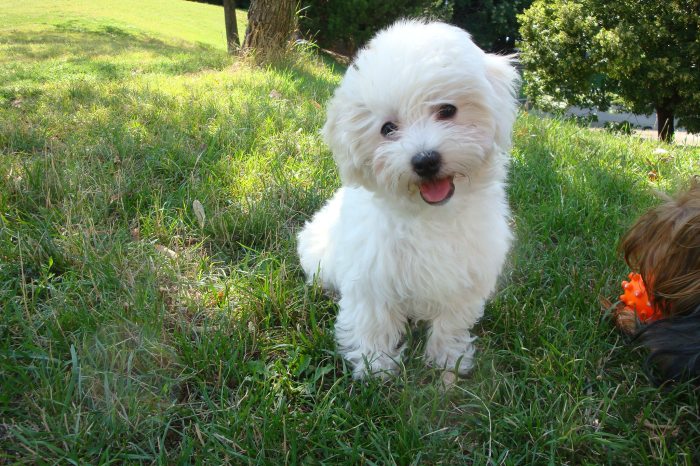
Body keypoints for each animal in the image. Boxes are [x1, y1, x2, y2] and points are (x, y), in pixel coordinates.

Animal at [296, 20, 520, 378]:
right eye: (388, 129)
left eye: (447, 110)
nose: (425, 160)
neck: (430, 215)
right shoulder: (372, 274)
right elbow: (373, 320)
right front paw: (375, 366)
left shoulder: (466, 275)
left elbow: (452, 320)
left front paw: (449, 357)